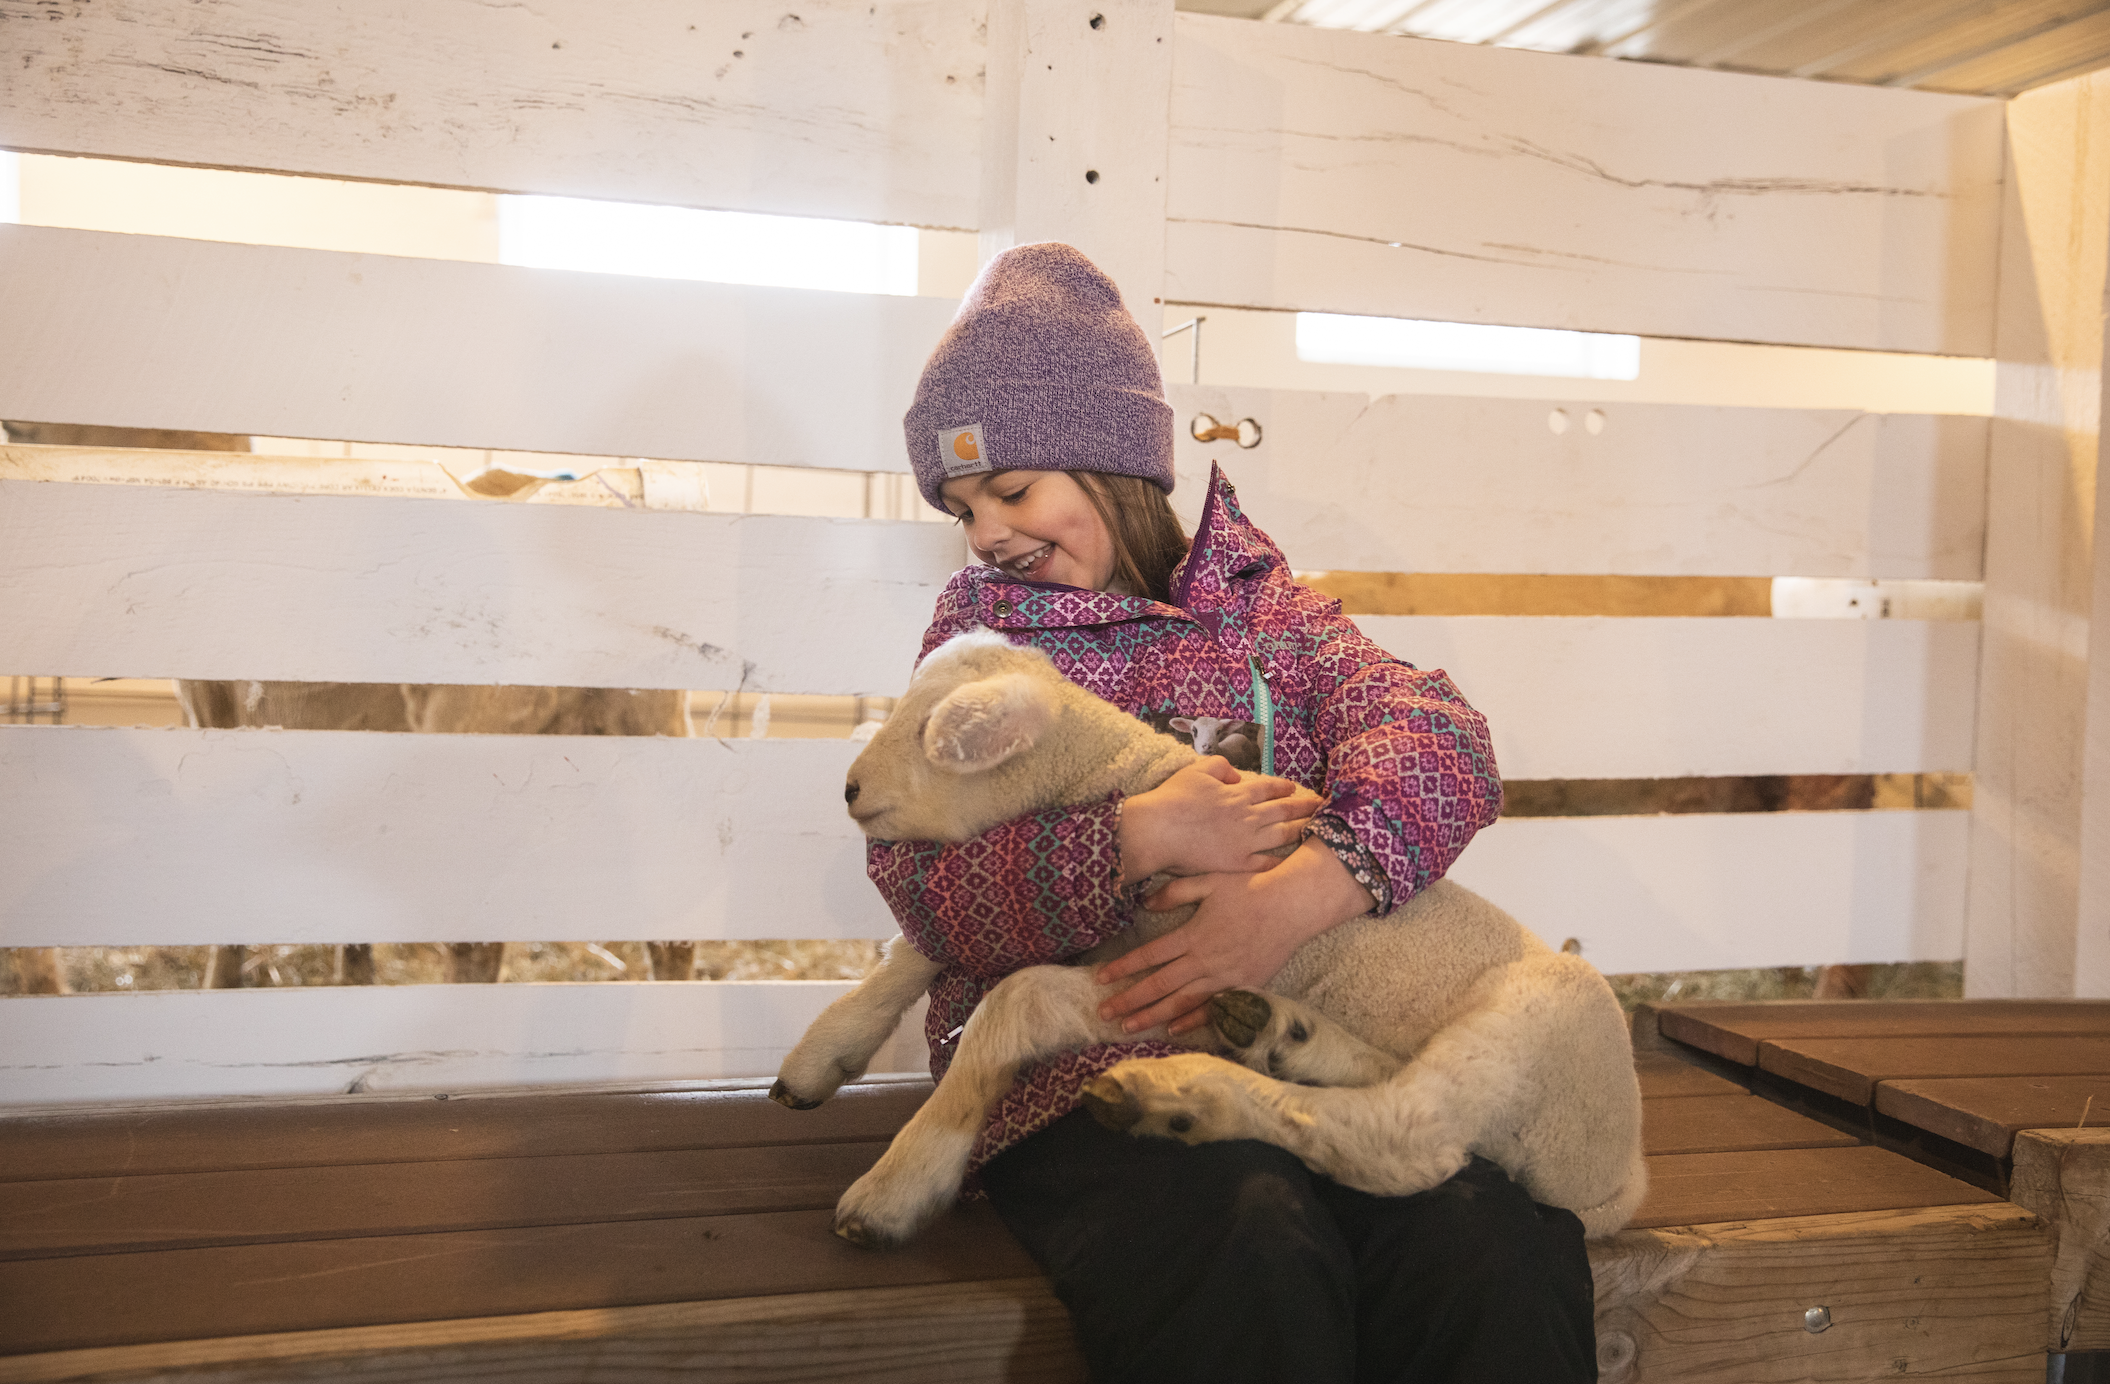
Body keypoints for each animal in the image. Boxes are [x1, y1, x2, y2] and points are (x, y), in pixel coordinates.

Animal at [772, 628, 1645, 1249]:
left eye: (938, 732)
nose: (850, 789)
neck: (1130, 778)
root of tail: (1622, 1177)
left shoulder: (1160, 976)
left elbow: (1014, 1002)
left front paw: (898, 1184)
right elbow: (929, 941)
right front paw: (821, 1056)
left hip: (1543, 1018)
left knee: (1408, 1137)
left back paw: (1184, 1097)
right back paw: (1282, 1036)